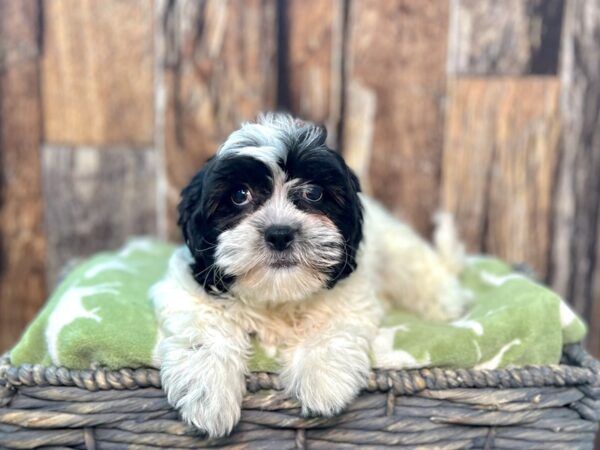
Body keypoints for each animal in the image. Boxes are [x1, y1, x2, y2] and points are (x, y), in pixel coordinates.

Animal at [151, 112, 468, 436]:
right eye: (240, 195)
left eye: (313, 193)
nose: (279, 234)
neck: (277, 297)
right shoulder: (188, 289)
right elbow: (203, 330)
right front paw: (208, 396)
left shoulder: (352, 293)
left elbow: (329, 325)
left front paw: (322, 380)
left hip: (396, 249)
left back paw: (446, 301)